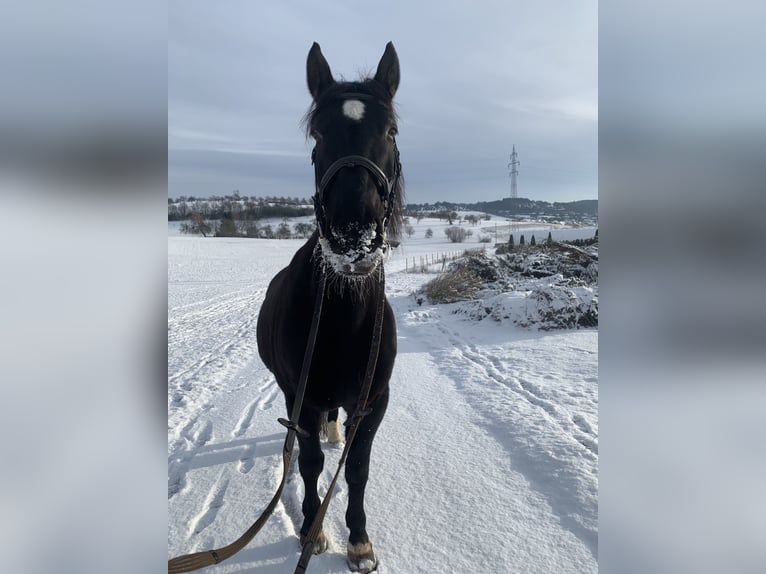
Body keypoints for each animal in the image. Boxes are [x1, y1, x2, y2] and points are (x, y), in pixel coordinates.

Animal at [256, 42, 404, 572]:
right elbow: (310, 464)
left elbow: (356, 468)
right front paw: (311, 529)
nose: (352, 238)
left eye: (391, 130)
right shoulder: (301, 397)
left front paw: (358, 541)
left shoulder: (374, 401)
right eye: (318, 133)